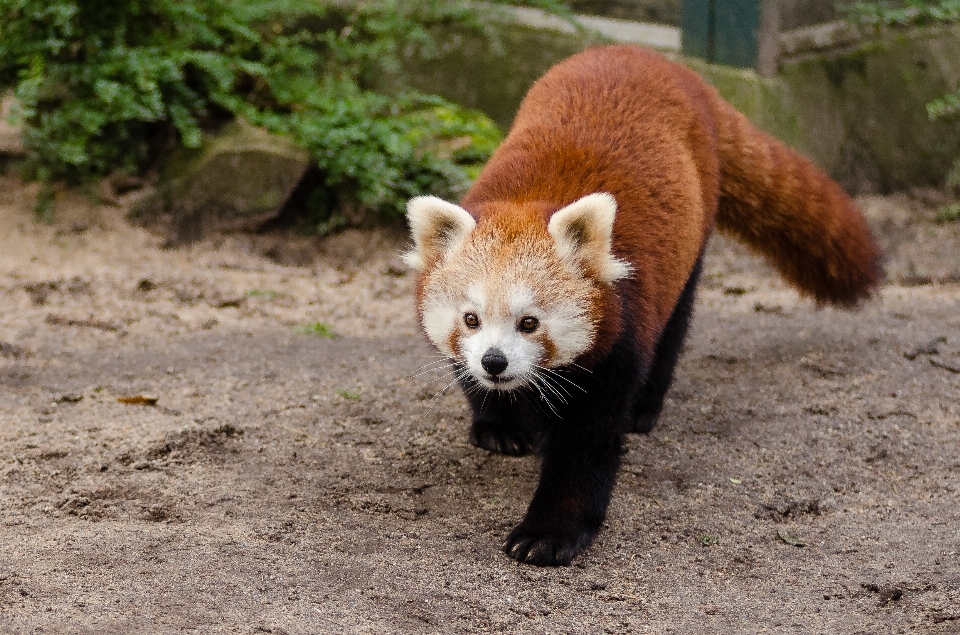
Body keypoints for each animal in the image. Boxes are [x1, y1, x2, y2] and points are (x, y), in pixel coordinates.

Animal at [402, 47, 880, 568]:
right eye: (471, 319)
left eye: (530, 323)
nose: (495, 362)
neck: (529, 201)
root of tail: (659, 61)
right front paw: (499, 423)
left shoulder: (619, 335)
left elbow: (587, 444)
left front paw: (548, 532)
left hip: (690, 241)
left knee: (674, 327)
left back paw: (644, 409)